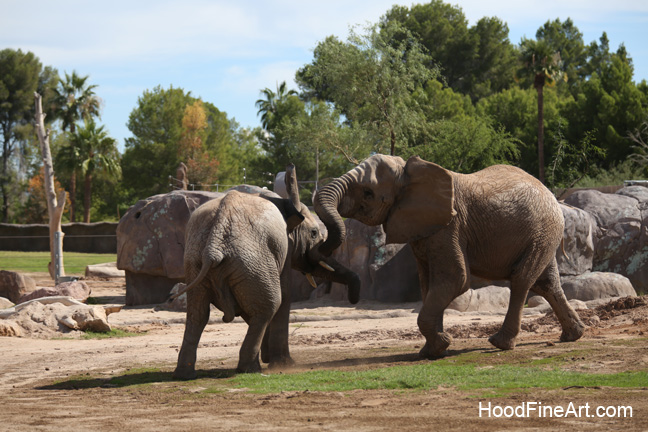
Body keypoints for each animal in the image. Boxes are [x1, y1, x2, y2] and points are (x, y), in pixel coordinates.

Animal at [173, 164, 360, 379]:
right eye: (314, 233)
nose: (354, 299)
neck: (285, 201)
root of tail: (215, 242)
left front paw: (269, 357)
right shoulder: (283, 247)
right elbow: (284, 296)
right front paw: (282, 363)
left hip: (197, 262)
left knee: (197, 314)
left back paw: (184, 374)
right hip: (251, 262)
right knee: (269, 305)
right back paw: (250, 369)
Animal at [314, 154, 586, 358]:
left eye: (368, 193)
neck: (409, 174)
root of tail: (553, 196)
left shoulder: (450, 226)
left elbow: (455, 279)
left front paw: (441, 344)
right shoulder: (424, 227)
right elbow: (429, 284)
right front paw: (431, 351)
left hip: (542, 230)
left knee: (522, 279)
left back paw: (500, 343)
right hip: (543, 233)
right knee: (546, 282)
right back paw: (573, 336)